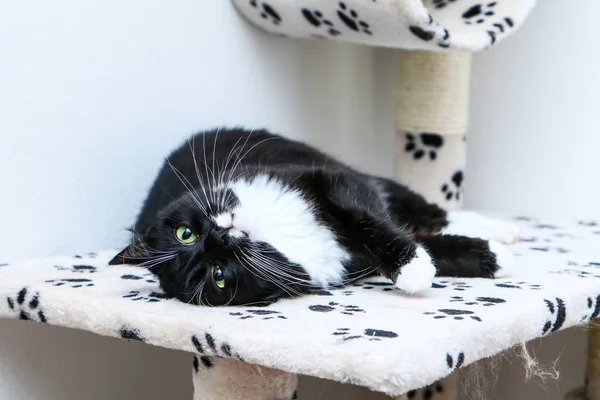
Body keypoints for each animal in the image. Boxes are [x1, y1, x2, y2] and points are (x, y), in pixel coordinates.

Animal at [109, 128, 516, 306]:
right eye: (218, 276)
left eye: (185, 234)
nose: (219, 237)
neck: (273, 232)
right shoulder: (348, 260)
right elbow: (424, 246)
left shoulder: (328, 181)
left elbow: (368, 221)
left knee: (425, 210)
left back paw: (503, 228)